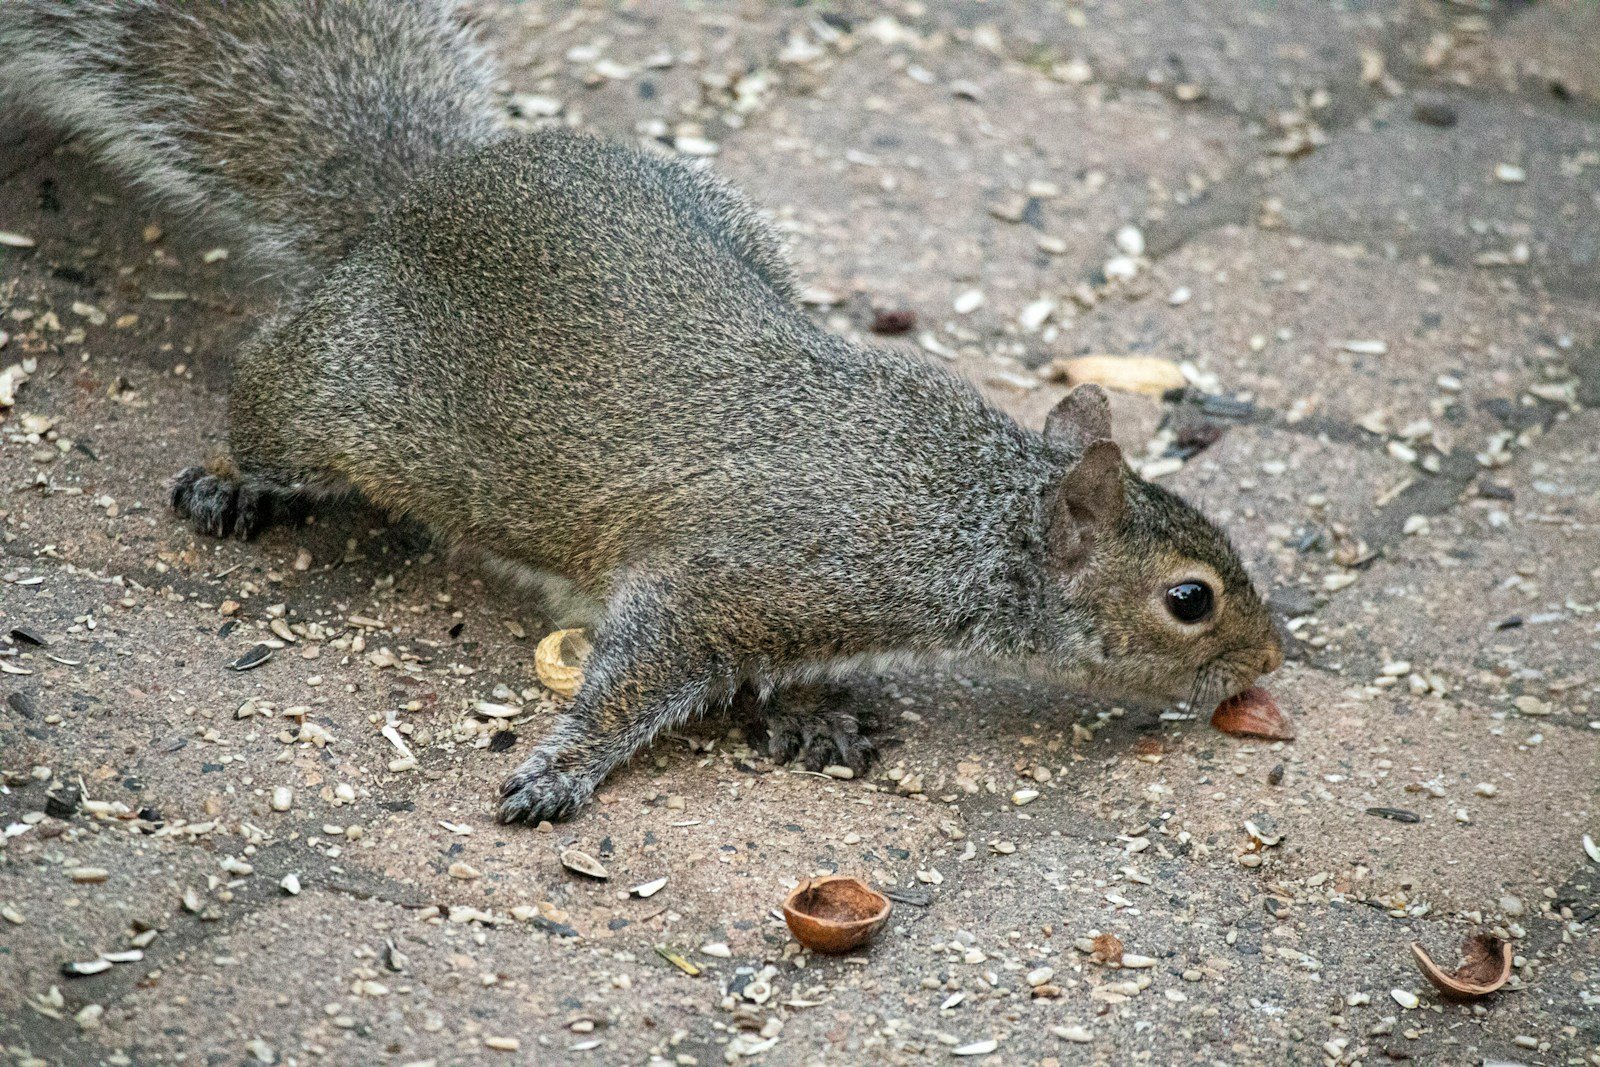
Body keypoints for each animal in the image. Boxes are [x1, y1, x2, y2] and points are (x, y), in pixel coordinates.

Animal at [1, 0, 1284, 824]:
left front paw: (814, 711)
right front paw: (560, 769)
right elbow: (636, 671)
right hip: (348, 396)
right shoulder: (727, 578)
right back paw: (233, 475)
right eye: (1190, 598)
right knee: (270, 381)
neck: (961, 515)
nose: (1272, 657)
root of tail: (424, 191)